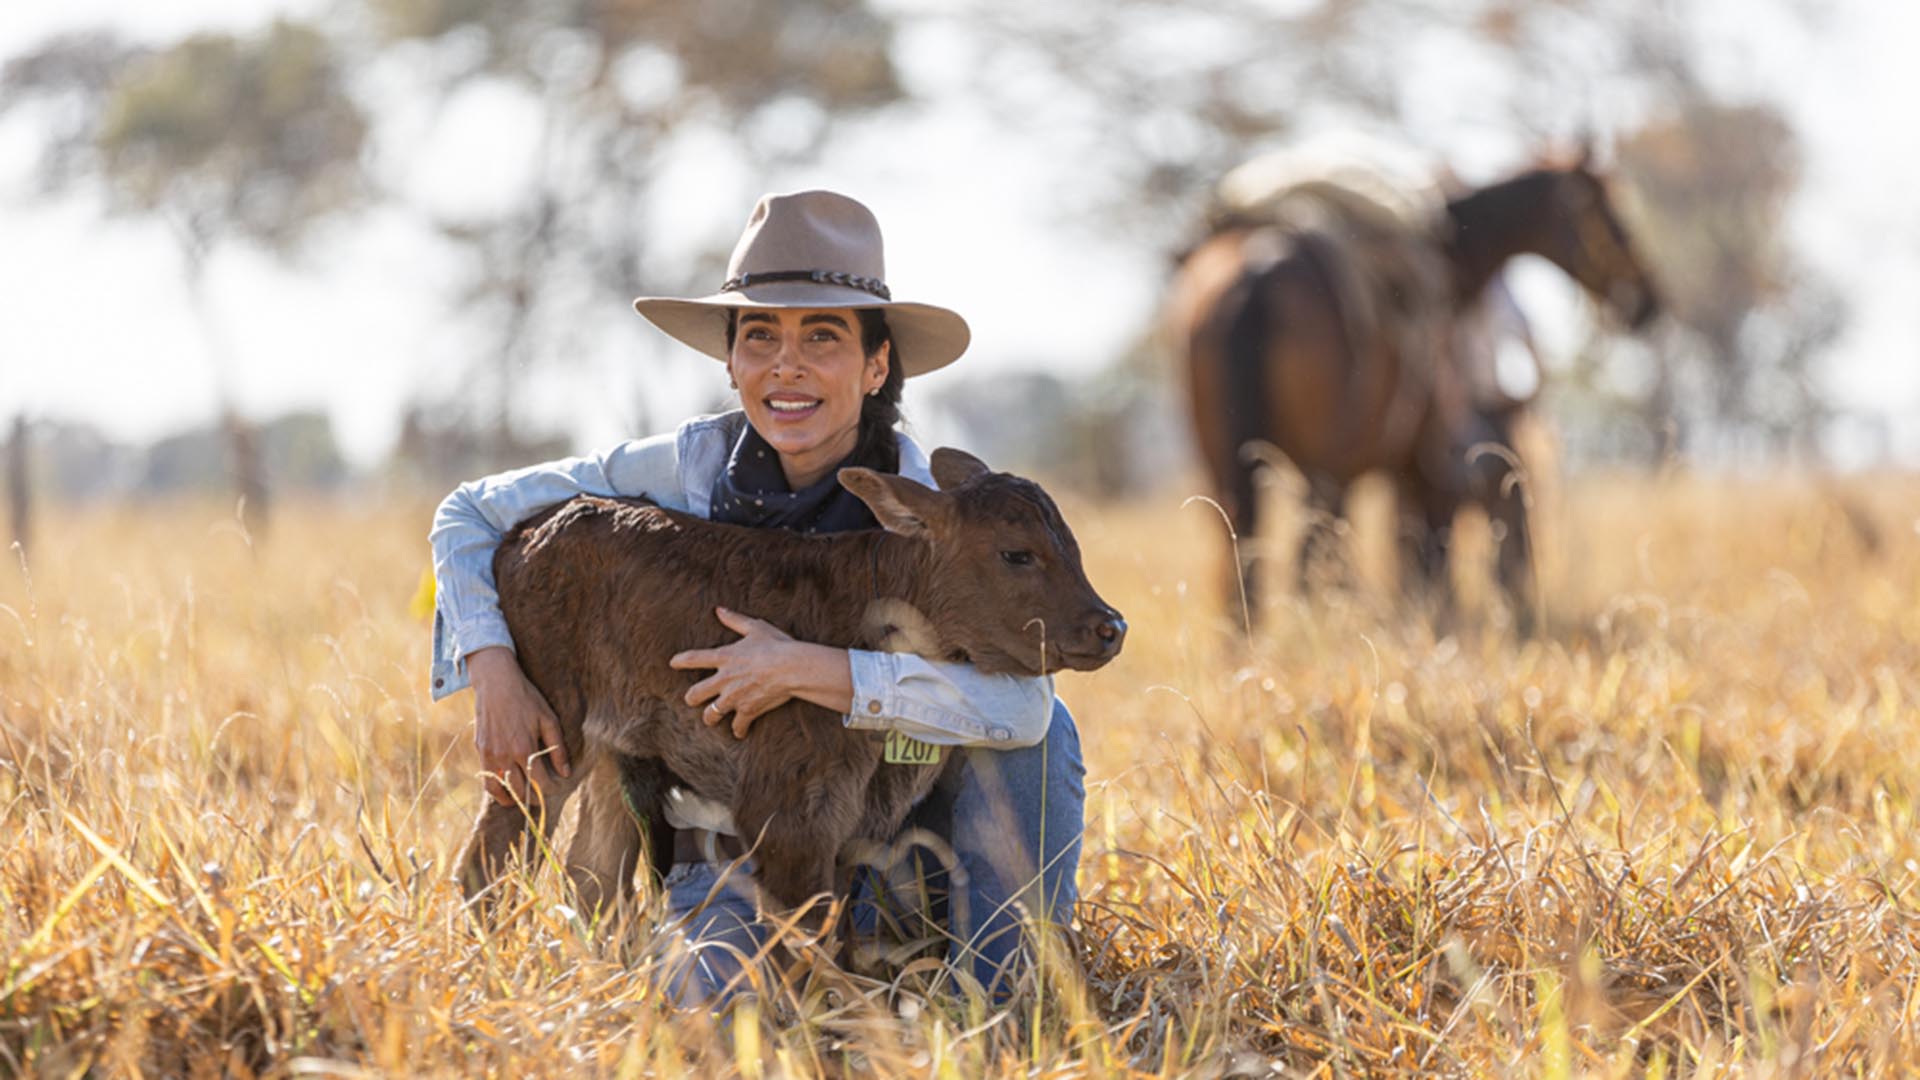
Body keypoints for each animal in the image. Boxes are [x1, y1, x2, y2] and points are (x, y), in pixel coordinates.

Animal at [1159, 149, 1658, 622]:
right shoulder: (1421, 458)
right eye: (1610, 210)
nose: (1646, 299)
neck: (1451, 255)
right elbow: (1426, 550)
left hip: (1225, 454)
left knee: (1244, 536)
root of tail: (1255, 272)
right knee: (1313, 542)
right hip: (1325, 461)